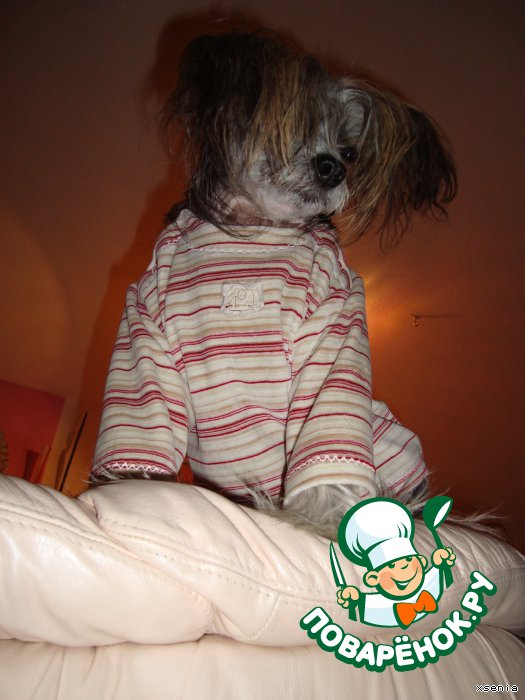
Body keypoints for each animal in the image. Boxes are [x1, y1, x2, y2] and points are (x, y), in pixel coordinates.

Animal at [92, 31, 457, 538]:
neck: (252, 232)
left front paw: (319, 520)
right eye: (294, 127)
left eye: (350, 152)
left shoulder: (335, 326)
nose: (332, 168)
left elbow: (326, 458)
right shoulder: (143, 328)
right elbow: (141, 436)